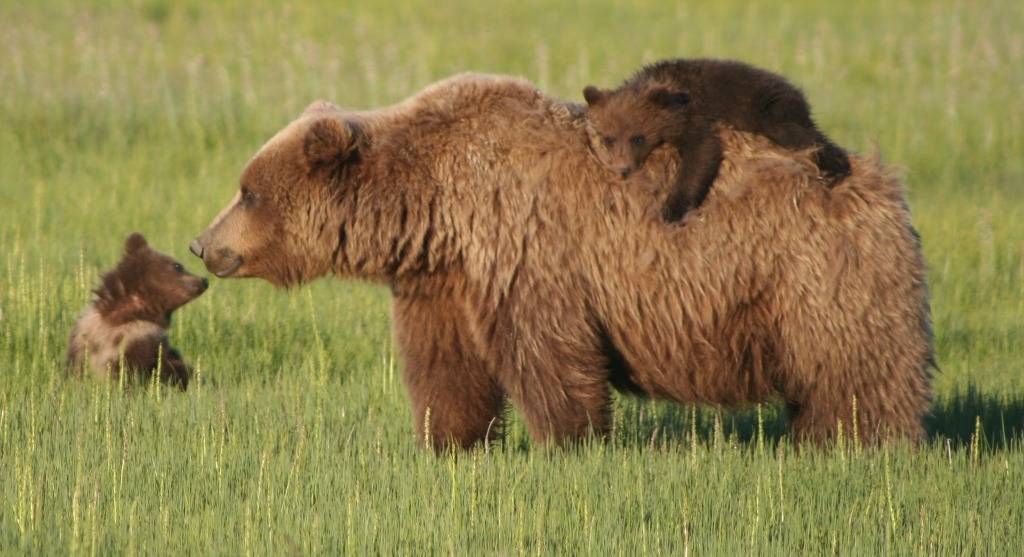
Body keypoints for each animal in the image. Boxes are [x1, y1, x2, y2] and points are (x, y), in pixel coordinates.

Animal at [188, 72, 933, 448]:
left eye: (249, 190)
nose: (203, 244)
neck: (434, 205)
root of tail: (885, 182)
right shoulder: (442, 280)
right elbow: (445, 367)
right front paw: (449, 441)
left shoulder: (527, 247)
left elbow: (547, 351)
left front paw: (566, 442)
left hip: (814, 270)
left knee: (855, 364)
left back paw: (863, 442)